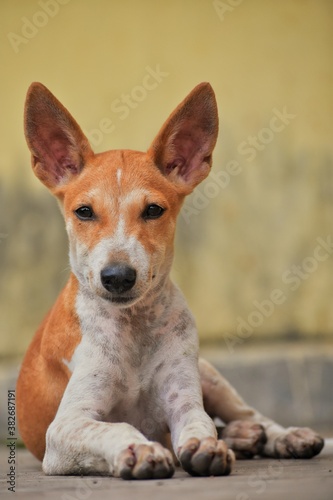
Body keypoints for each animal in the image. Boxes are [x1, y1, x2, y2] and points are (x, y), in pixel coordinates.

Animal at [16, 83, 322, 480]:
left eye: (153, 210)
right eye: (84, 211)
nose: (117, 277)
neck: (134, 326)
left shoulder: (184, 402)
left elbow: (199, 423)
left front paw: (205, 446)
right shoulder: (64, 427)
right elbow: (113, 427)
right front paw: (139, 449)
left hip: (208, 374)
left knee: (248, 415)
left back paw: (279, 436)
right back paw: (242, 436)